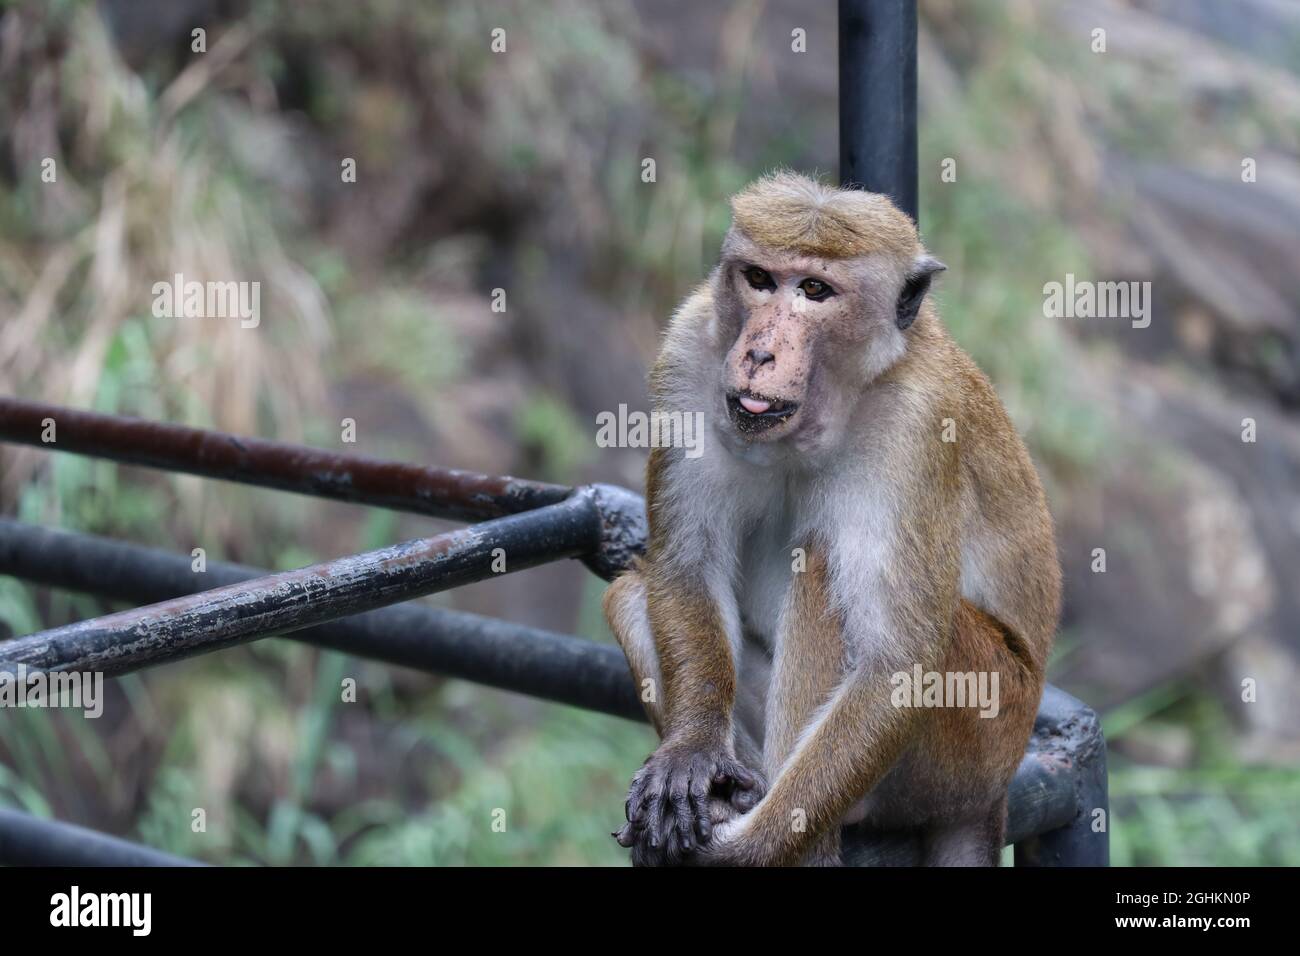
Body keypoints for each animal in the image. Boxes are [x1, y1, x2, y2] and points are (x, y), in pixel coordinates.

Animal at [604, 172, 1061, 867]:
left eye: (815, 290)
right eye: (759, 278)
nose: (759, 352)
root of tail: (994, 791)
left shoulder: (916, 422)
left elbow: (897, 662)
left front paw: (746, 851)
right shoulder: (688, 354)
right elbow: (686, 567)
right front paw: (692, 752)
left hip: (981, 728)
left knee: (822, 568)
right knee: (634, 592)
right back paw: (737, 791)